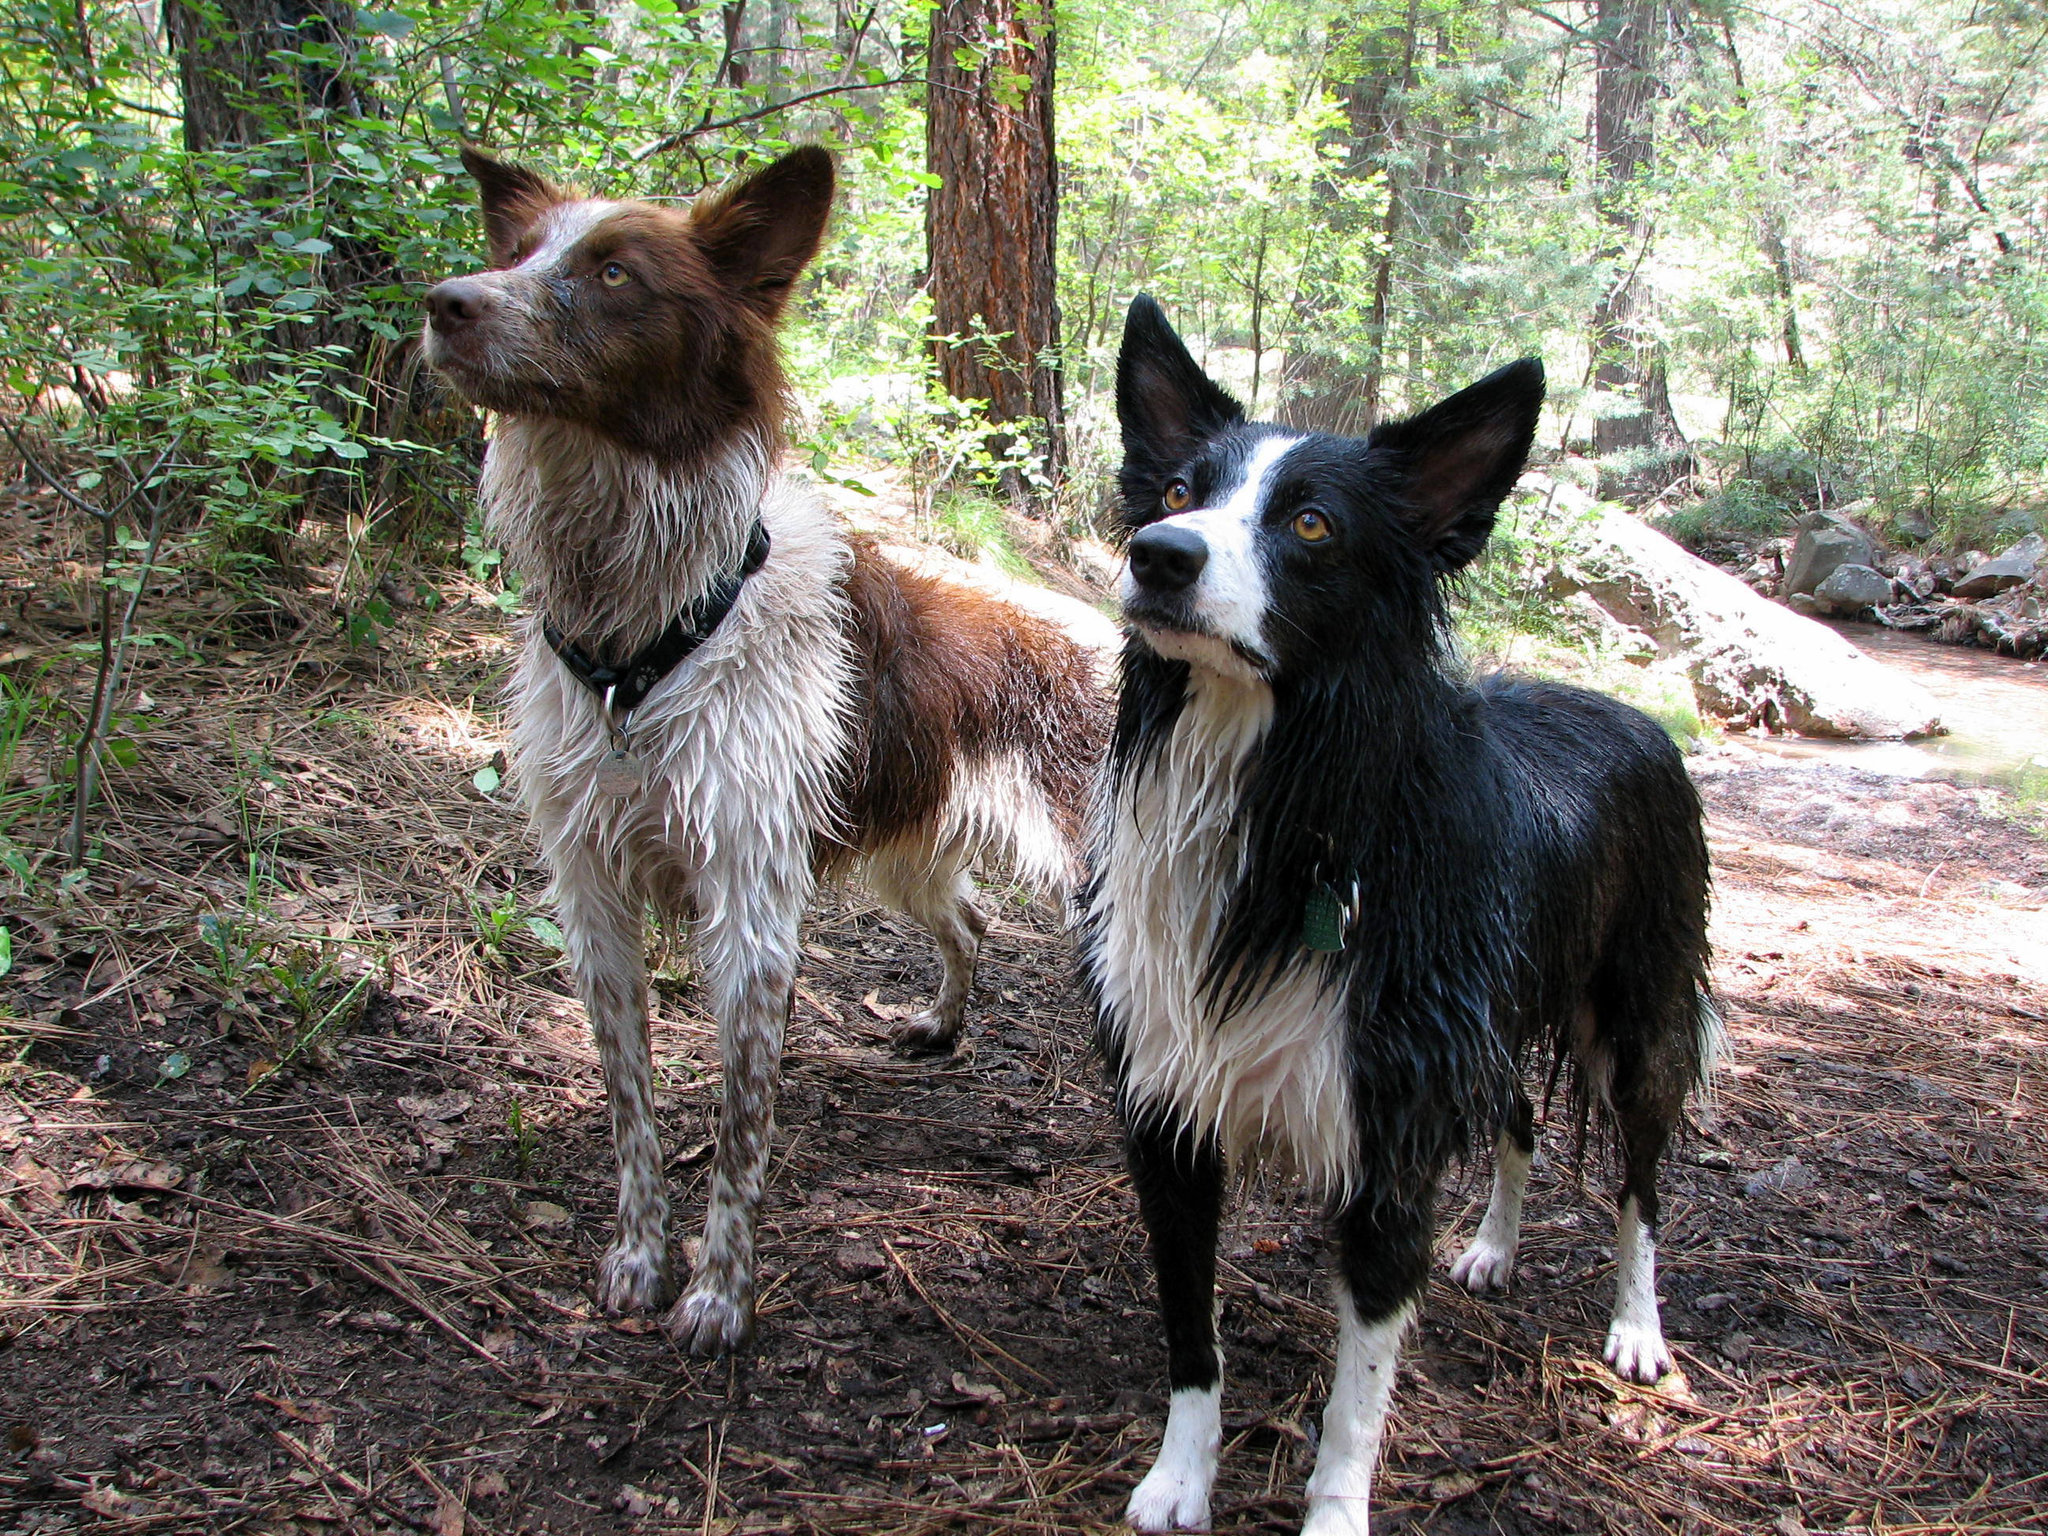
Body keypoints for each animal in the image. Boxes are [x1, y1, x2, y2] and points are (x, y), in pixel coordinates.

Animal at [417, 147, 1114, 1359]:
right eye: (518, 253)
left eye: (614, 273)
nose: (445, 303)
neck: (642, 643)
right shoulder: (595, 902)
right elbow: (634, 1112)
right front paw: (639, 1258)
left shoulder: (750, 911)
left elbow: (741, 1127)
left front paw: (719, 1293)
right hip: (903, 853)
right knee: (970, 925)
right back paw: (940, 1023)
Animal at [1081, 294, 1720, 1531]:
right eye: (1177, 492)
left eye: (1312, 525)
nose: (1158, 556)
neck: (1283, 806)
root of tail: (1637, 714)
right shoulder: (1167, 1115)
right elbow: (1192, 1337)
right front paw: (1179, 1479)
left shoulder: (1389, 1137)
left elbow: (1355, 1392)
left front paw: (1333, 1512)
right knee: (1518, 1121)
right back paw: (1492, 1249)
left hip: (1637, 1022)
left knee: (1641, 1183)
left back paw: (1635, 1327)